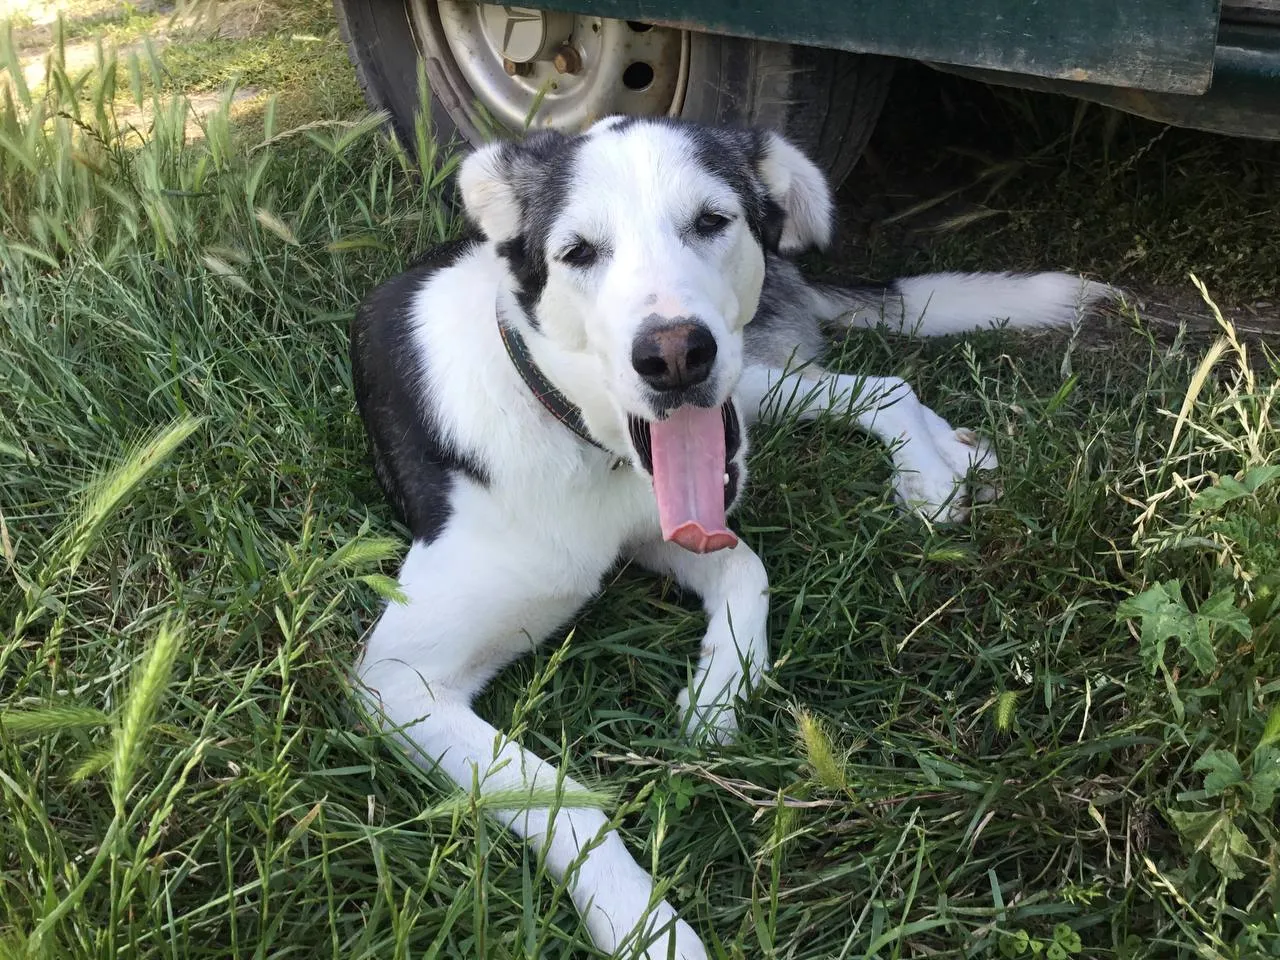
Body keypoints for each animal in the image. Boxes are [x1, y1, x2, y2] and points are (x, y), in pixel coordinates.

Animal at [350, 116, 1111, 957]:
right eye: (578, 252)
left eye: (711, 221)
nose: (674, 353)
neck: (577, 435)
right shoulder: (398, 680)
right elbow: (562, 794)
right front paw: (647, 927)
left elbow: (748, 573)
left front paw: (714, 703)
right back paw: (953, 458)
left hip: (750, 380)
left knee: (881, 387)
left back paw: (934, 473)